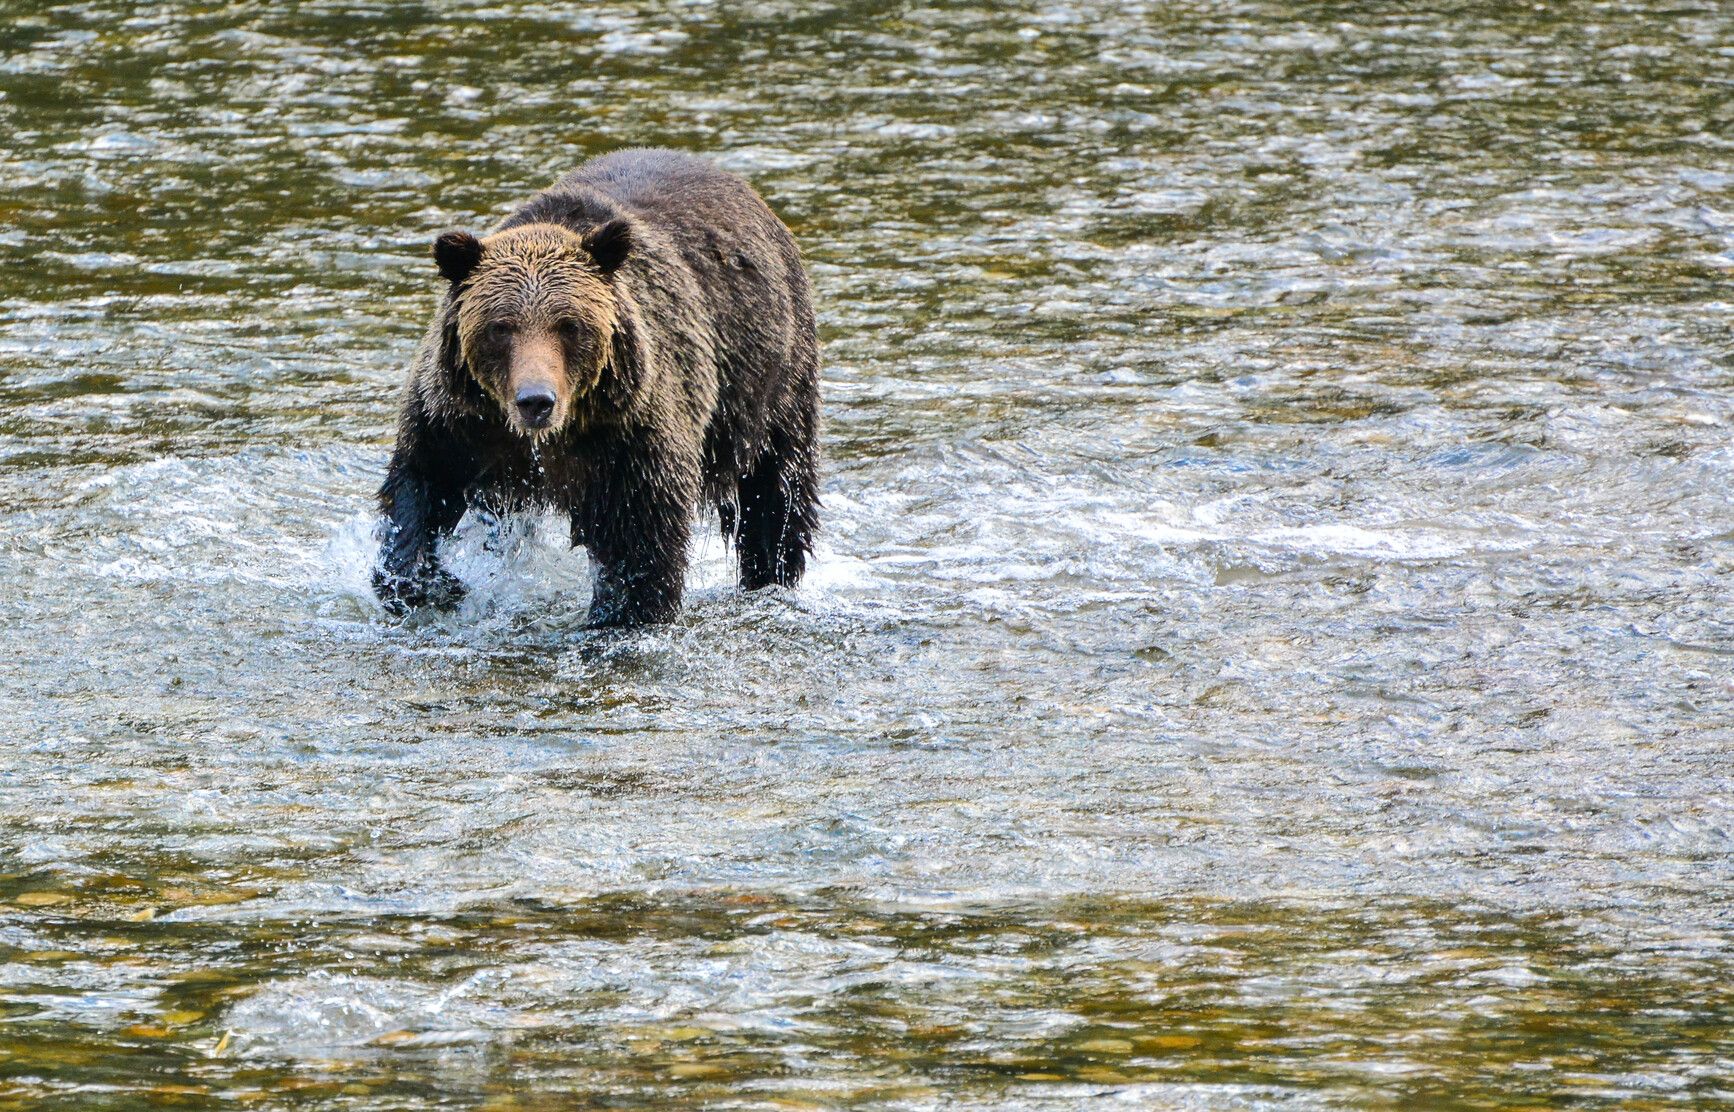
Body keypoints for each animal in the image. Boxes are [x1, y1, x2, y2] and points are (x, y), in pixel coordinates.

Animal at [371, 149, 820, 627]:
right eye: (500, 327)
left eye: (569, 325)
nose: (536, 401)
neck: (556, 433)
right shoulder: (458, 421)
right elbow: (417, 491)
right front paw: (432, 584)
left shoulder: (632, 433)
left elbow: (643, 539)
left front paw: (622, 612)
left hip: (770, 385)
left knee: (775, 495)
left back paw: (771, 574)